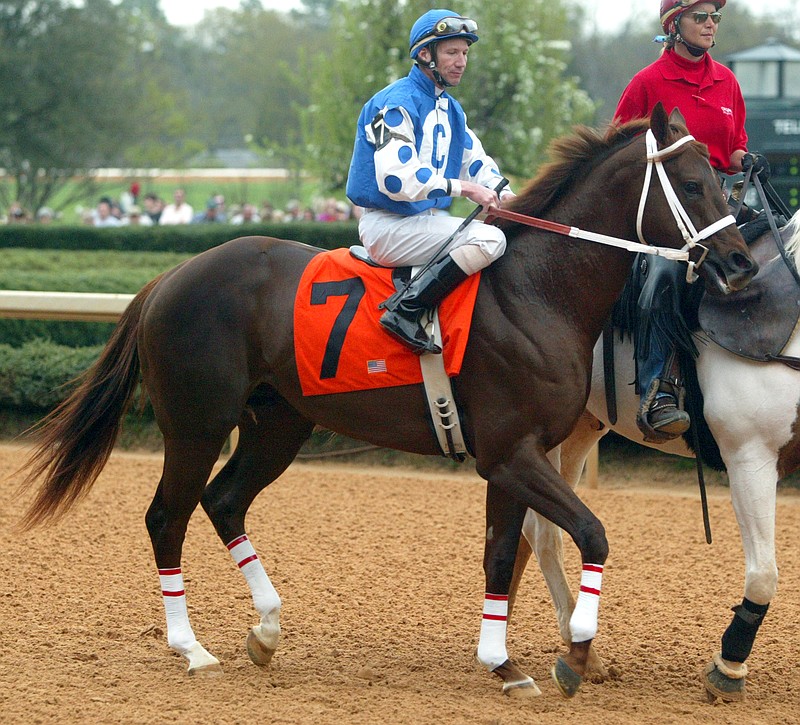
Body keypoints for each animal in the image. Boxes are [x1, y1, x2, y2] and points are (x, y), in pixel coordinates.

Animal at [17, 102, 756, 696]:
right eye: (694, 182)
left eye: (724, 180)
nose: (742, 264)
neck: (537, 291)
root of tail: (171, 276)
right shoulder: (510, 453)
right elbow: (592, 532)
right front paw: (573, 654)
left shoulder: (514, 456)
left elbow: (499, 552)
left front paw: (503, 663)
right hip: (197, 425)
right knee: (166, 516)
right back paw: (191, 647)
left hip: (278, 424)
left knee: (223, 500)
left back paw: (267, 629)